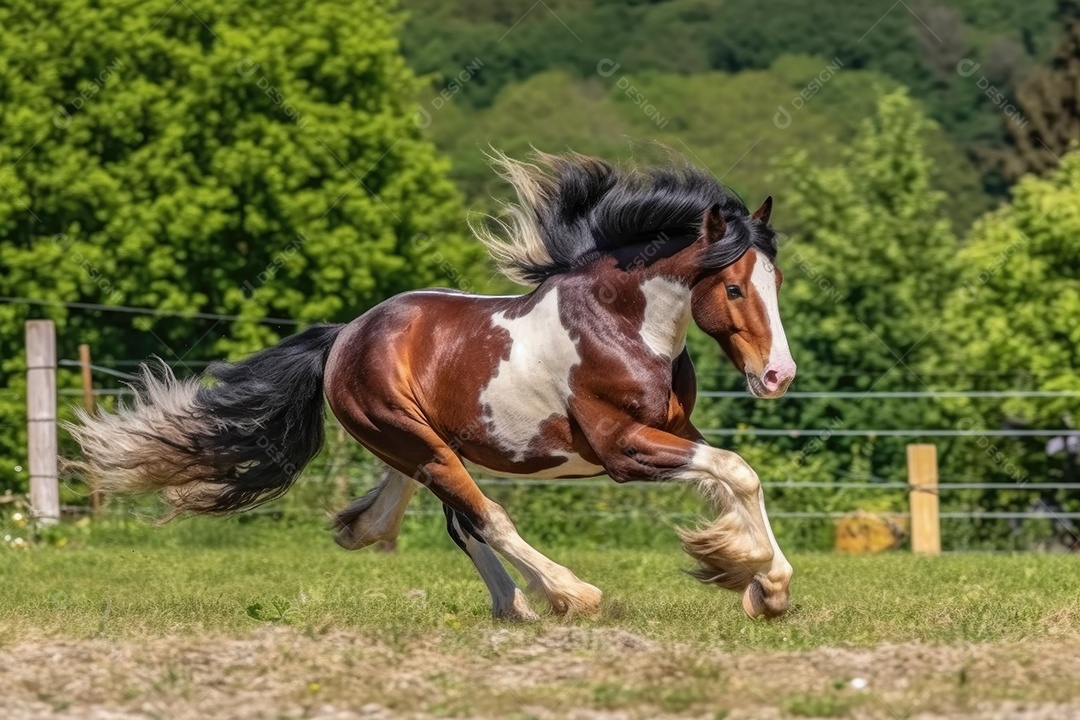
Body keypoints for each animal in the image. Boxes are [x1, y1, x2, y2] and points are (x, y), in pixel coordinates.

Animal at [67, 150, 797, 621]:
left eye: (777, 280)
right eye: (734, 287)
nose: (777, 376)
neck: (621, 324)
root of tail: (348, 335)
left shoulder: (674, 431)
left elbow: (736, 479)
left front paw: (759, 583)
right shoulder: (621, 447)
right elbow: (736, 471)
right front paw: (757, 577)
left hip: (422, 446)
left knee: (420, 521)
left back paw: (514, 604)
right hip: (418, 441)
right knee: (481, 516)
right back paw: (567, 595)